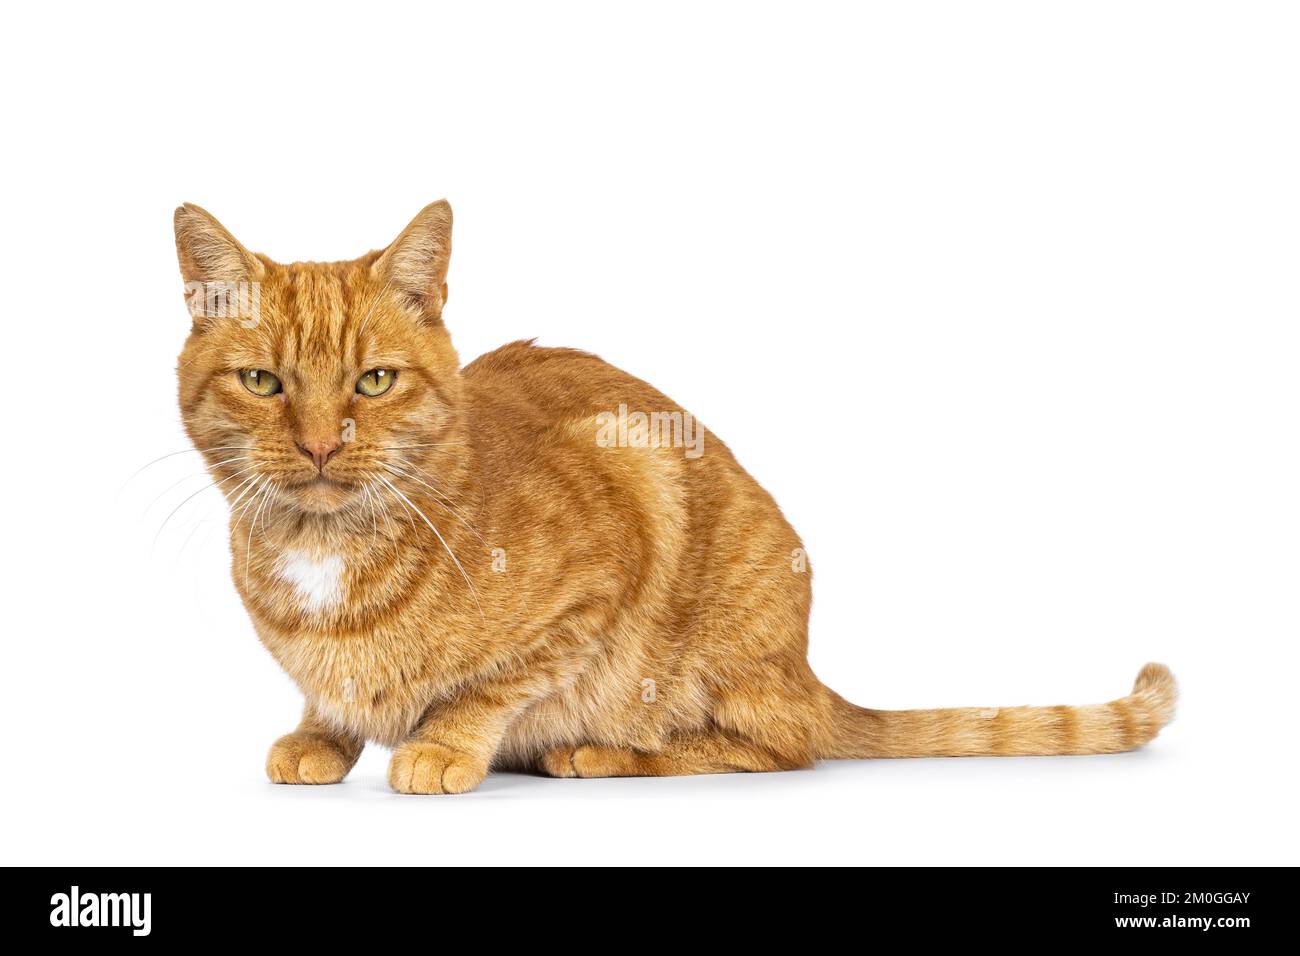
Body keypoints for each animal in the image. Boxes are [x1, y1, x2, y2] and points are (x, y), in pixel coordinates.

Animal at [172, 200, 1180, 790]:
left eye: (373, 383)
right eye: (263, 384)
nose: (317, 445)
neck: (327, 552)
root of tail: (806, 668)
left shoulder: (605, 553)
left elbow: (494, 686)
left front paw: (444, 744)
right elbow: (332, 701)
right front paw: (320, 734)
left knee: (775, 746)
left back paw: (600, 752)